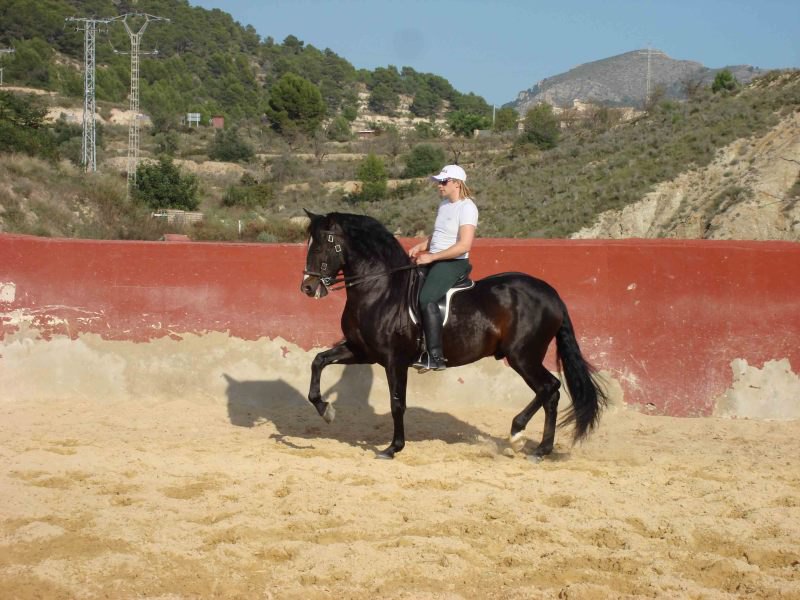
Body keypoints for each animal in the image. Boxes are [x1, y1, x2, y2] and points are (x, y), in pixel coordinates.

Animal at [302, 211, 608, 460]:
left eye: (323, 243)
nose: (307, 287)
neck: (381, 290)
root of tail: (551, 294)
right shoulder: (361, 350)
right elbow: (318, 361)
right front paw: (325, 410)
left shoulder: (394, 360)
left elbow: (397, 403)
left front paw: (393, 448)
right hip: (523, 357)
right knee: (549, 391)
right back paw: (532, 443)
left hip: (523, 356)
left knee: (549, 389)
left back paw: (527, 441)